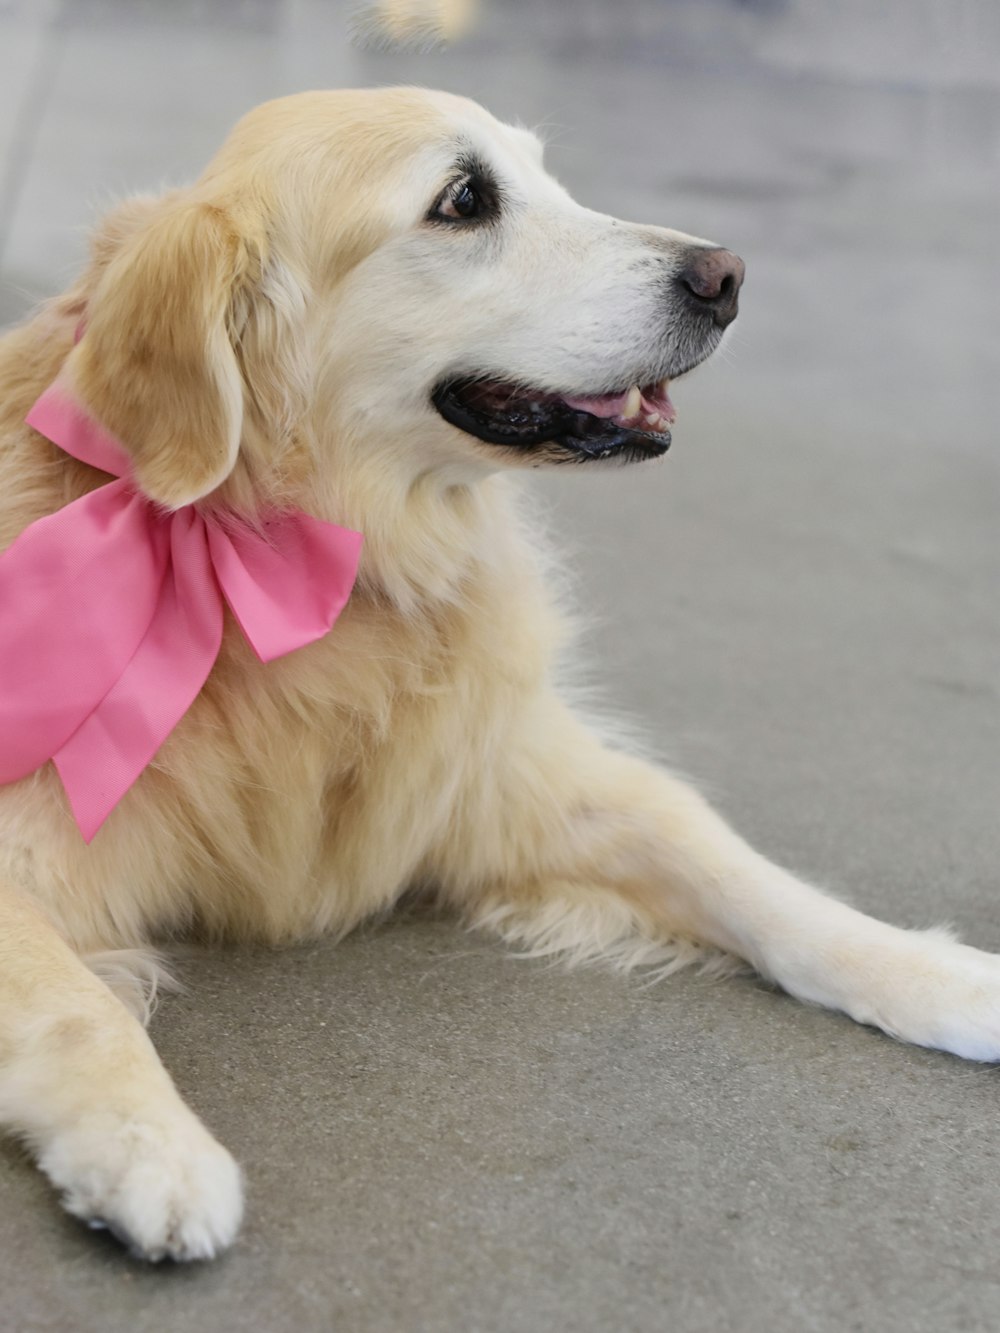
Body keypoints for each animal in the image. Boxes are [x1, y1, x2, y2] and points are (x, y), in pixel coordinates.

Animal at [1, 88, 1000, 1263]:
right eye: (464, 200)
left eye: (544, 175)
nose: (726, 275)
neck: (312, 560)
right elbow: (77, 1004)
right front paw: (149, 1145)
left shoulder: (498, 772)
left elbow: (746, 872)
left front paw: (937, 974)